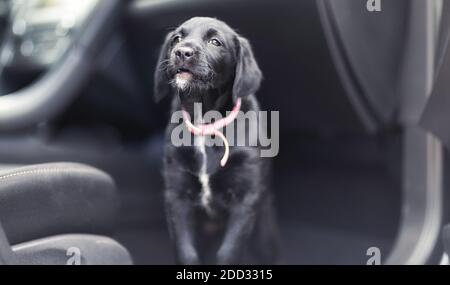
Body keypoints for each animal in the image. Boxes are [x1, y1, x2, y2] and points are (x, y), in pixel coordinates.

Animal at [155, 17, 278, 264]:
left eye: (215, 42)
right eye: (177, 39)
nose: (182, 52)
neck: (205, 123)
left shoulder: (244, 199)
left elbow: (229, 251)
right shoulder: (177, 197)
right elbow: (186, 252)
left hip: (264, 233)